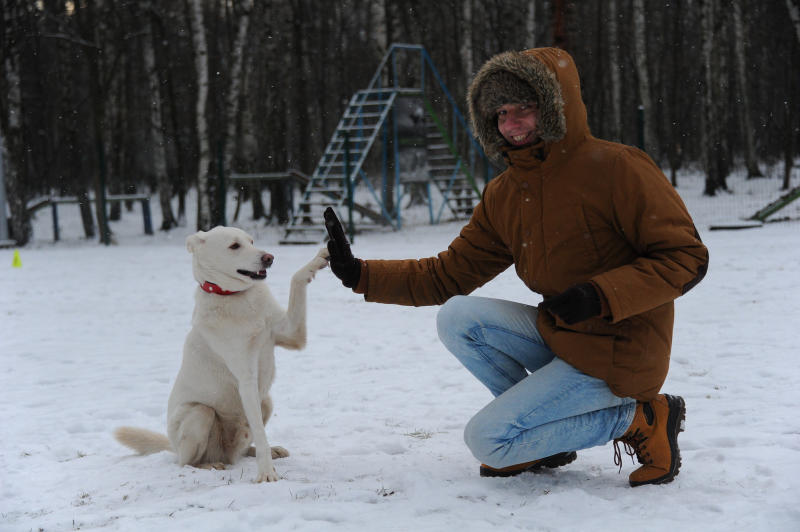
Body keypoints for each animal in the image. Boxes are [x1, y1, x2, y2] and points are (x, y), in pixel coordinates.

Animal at [114, 227, 330, 484]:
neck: (235, 296)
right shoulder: (246, 380)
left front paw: (318, 259)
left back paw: (266, 450)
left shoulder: (292, 333)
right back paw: (210, 465)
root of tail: (172, 447)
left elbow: (296, 279)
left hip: (266, 401)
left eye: (251, 241)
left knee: (244, 449)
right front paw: (266, 473)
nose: (269, 258)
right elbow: (260, 433)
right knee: (186, 462)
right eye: (234, 246)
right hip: (200, 413)